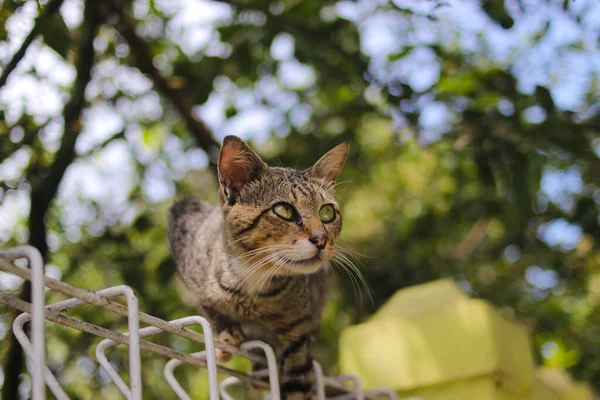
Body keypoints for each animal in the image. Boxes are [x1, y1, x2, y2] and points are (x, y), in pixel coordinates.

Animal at [166, 136, 350, 398]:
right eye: (284, 210)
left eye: (327, 212)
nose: (321, 239)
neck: (253, 280)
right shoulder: (182, 219)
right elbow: (208, 305)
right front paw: (224, 331)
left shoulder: (297, 332)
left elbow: (297, 380)